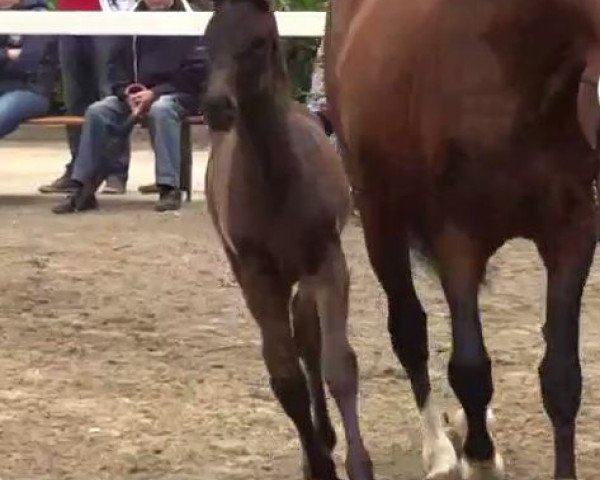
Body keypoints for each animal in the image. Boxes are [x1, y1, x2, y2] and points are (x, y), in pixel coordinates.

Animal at [202, 0, 376, 480]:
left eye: (259, 41)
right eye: (206, 40)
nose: (217, 106)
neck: (276, 181)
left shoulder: (329, 263)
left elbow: (339, 365)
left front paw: (357, 464)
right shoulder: (256, 275)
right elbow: (285, 378)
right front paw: (318, 464)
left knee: (310, 339)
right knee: (298, 345)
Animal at [326, 0, 600, 480]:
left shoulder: (573, 232)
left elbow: (562, 376)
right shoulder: (457, 239)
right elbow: (470, 369)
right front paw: (481, 459)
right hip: (380, 218)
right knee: (409, 333)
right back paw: (438, 449)